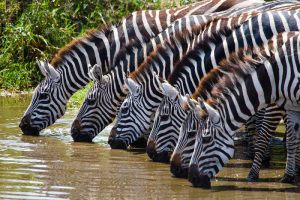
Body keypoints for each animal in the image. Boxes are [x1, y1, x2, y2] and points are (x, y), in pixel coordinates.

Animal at [189, 31, 300, 188]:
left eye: (206, 139)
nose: (191, 178)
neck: (275, 76)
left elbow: (262, 139)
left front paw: (252, 175)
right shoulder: (293, 107)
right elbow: (292, 142)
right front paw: (288, 176)